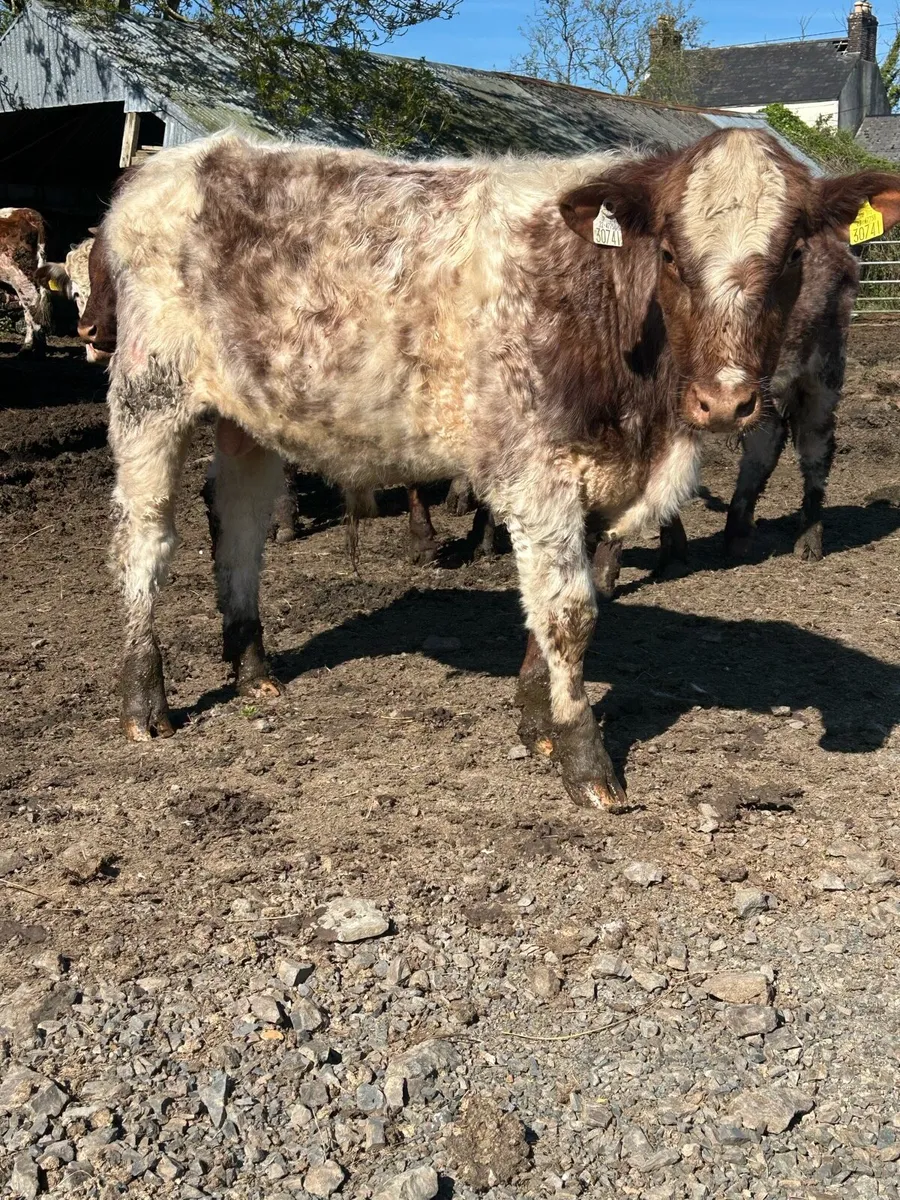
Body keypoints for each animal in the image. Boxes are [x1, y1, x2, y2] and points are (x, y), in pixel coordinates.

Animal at [83, 129, 900, 811]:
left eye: (793, 254)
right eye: (671, 254)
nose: (725, 401)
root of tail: (176, 159)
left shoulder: (593, 478)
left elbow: (556, 607)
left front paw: (536, 721)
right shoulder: (535, 471)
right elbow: (570, 612)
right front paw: (585, 763)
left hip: (248, 413)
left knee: (241, 528)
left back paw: (254, 669)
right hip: (149, 393)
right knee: (144, 540)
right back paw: (143, 703)